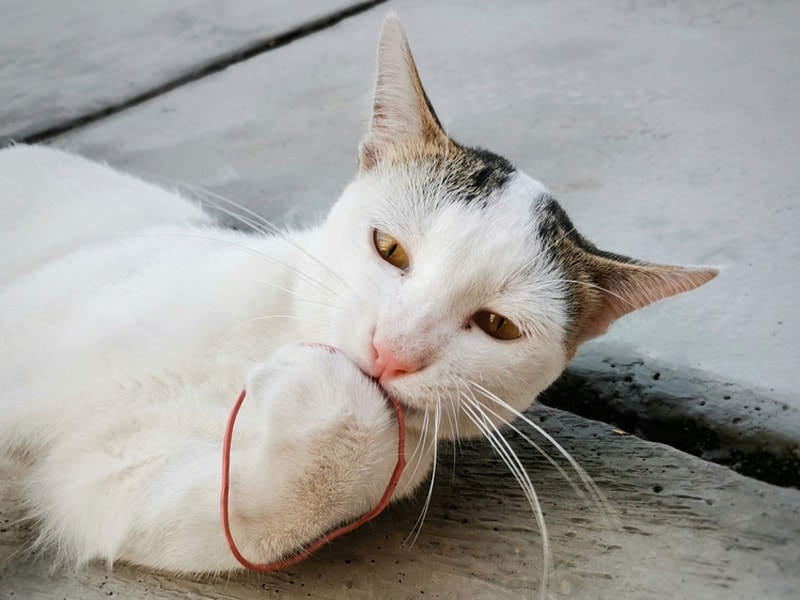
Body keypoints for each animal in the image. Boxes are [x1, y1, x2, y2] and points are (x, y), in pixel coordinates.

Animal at [0, 16, 712, 576]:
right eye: (389, 248)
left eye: (498, 326)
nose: (392, 350)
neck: (264, 341)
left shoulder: (108, 478)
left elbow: (239, 518)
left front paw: (323, 396)